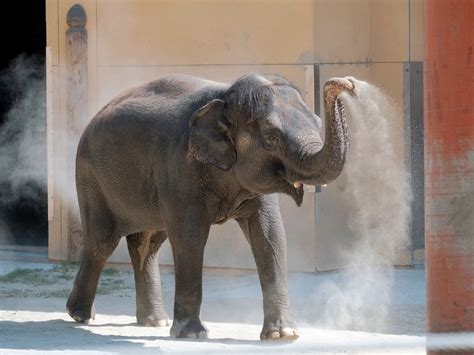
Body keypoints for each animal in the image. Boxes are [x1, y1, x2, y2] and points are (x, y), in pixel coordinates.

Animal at [66, 73, 354, 342]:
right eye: (271, 137)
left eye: (318, 124)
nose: (345, 82)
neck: (225, 96)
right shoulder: (180, 166)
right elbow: (191, 236)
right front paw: (192, 334)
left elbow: (270, 235)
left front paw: (282, 335)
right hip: (90, 177)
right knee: (101, 242)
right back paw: (80, 315)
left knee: (148, 244)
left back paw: (154, 321)